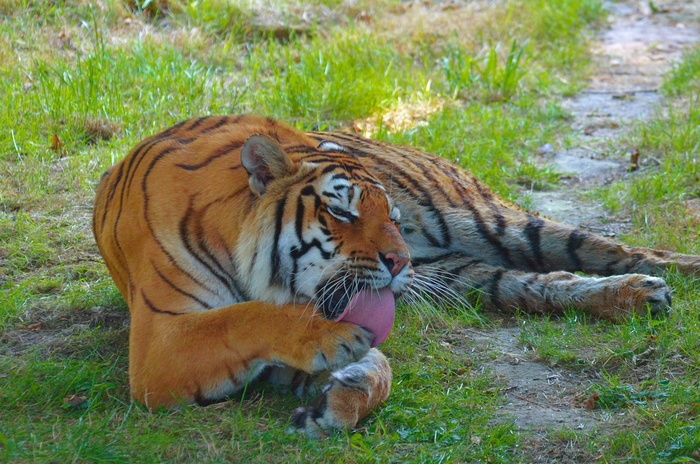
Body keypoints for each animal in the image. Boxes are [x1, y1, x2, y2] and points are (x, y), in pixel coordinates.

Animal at [91, 114, 700, 436]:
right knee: (538, 283)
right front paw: (340, 375)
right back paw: (640, 298)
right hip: (461, 273)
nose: (400, 259)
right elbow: (246, 318)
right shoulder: (161, 340)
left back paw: (660, 279)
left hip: (485, 219)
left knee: (597, 245)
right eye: (342, 212)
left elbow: (258, 319)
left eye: (393, 216)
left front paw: (347, 387)